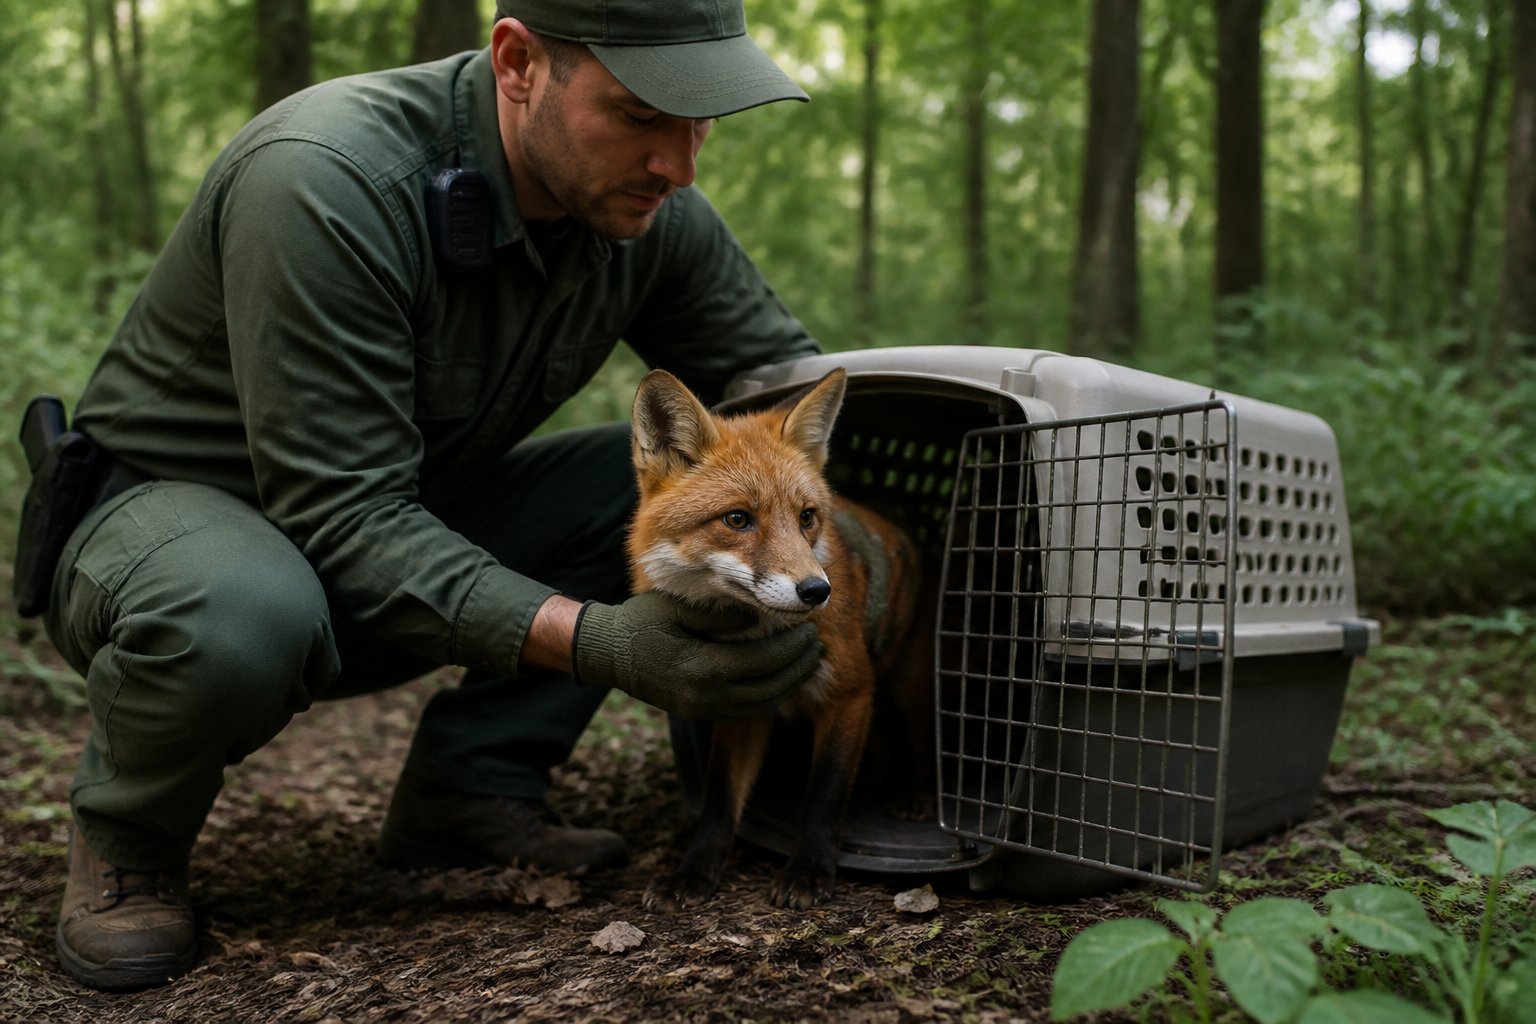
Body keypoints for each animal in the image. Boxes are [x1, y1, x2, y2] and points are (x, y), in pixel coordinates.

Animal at [628, 366, 932, 911]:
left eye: (806, 516)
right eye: (736, 519)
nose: (817, 591)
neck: (760, 631)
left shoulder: (850, 692)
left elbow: (824, 794)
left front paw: (809, 870)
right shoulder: (740, 703)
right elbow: (720, 800)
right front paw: (694, 873)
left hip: (906, 684)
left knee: (919, 742)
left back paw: (915, 795)